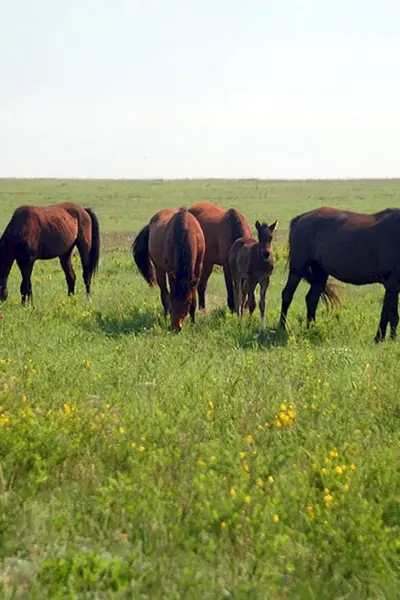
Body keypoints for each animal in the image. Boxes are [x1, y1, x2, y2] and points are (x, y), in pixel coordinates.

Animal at [278, 205, 400, 340]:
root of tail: (300, 218)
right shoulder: (391, 282)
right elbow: (390, 314)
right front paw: (385, 339)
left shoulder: (393, 286)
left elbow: (388, 313)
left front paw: (384, 338)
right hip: (297, 268)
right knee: (287, 294)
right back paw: (282, 327)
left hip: (320, 272)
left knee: (312, 298)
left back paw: (311, 328)